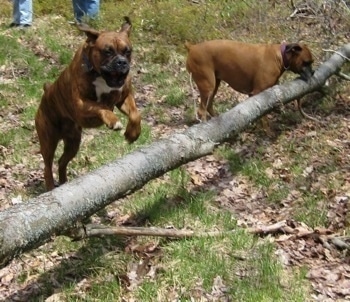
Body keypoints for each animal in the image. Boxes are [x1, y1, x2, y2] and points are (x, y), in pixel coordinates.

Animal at [34, 16, 141, 191]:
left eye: (128, 51)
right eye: (107, 51)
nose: (121, 62)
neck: (100, 75)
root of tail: (45, 94)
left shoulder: (124, 98)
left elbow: (135, 114)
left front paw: (132, 133)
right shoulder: (81, 105)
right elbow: (100, 106)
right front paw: (113, 121)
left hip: (73, 143)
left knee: (62, 162)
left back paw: (64, 183)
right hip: (48, 141)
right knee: (47, 167)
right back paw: (50, 187)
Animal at [185, 40, 314, 122]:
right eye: (306, 62)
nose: (313, 72)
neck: (280, 56)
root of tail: (192, 47)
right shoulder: (257, 93)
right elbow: (264, 119)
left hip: (214, 86)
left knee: (208, 106)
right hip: (208, 86)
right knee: (201, 110)